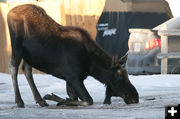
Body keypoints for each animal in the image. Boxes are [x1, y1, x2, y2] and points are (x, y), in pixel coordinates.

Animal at [7, 4, 139, 107]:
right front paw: (58, 99)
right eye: (119, 75)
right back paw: (19, 101)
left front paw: (58, 99)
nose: (135, 97)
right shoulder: (73, 77)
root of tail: (9, 12)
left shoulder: (69, 78)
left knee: (26, 68)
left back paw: (40, 100)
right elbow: (88, 100)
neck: (92, 66)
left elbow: (74, 98)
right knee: (13, 66)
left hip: (29, 55)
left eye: (127, 74)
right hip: (16, 45)